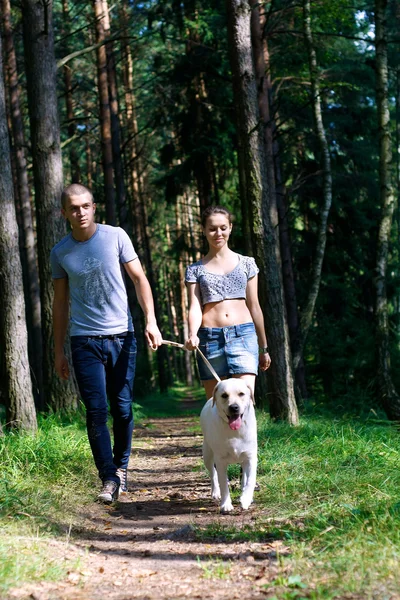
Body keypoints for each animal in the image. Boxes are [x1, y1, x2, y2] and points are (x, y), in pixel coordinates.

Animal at [199, 378, 256, 512]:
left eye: (241, 394)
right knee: (213, 473)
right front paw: (226, 504)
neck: (234, 431)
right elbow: (223, 484)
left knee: (244, 475)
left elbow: (250, 480)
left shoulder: (251, 456)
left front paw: (246, 499)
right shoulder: (221, 461)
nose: (234, 407)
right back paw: (215, 492)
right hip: (207, 454)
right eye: (224, 395)